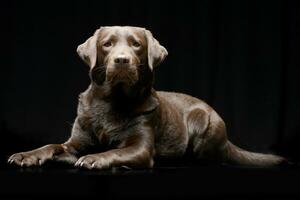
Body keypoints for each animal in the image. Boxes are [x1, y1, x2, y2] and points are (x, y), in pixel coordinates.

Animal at [6, 25, 284, 169]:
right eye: (107, 44)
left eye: (136, 44)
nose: (121, 60)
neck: (112, 101)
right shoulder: (75, 142)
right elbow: (53, 146)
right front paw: (28, 155)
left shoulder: (140, 148)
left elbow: (114, 151)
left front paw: (96, 158)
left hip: (203, 122)